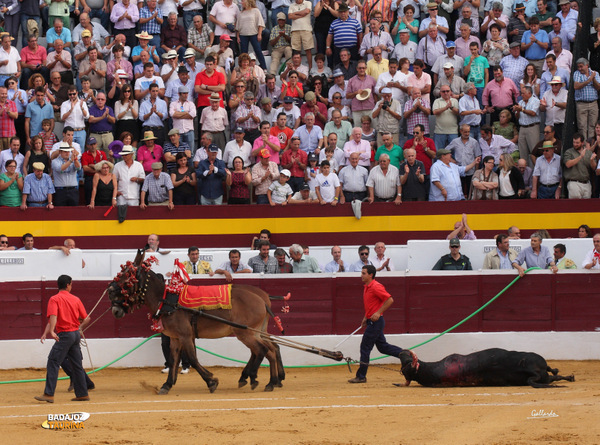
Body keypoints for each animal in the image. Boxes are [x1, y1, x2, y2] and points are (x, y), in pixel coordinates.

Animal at [107, 250, 286, 392]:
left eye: (125, 278)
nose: (114, 308)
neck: (167, 300)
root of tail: (262, 299)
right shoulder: (175, 338)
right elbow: (173, 360)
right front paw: (167, 384)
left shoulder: (186, 336)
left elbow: (193, 359)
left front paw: (211, 381)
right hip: (256, 332)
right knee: (271, 349)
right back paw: (271, 381)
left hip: (245, 333)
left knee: (262, 350)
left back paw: (254, 378)